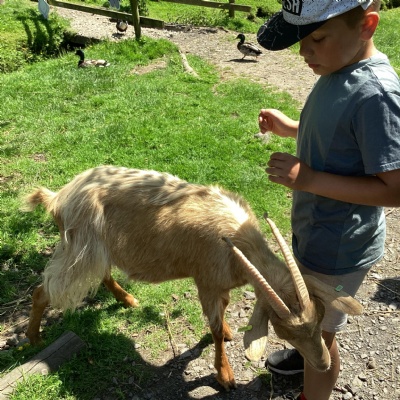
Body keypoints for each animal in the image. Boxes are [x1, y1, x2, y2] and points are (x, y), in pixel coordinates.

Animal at [24, 166, 363, 390]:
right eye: (285, 332)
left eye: (319, 319)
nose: (323, 364)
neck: (237, 240)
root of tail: (58, 197)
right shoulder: (206, 282)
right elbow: (213, 330)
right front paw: (225, 377)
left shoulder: (220, 284)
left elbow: (222, 317)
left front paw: (229, 331)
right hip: (79, 248)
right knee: (43, 290)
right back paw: (34, 339)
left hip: (97, 248)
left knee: (103, 272)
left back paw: (127, 298)